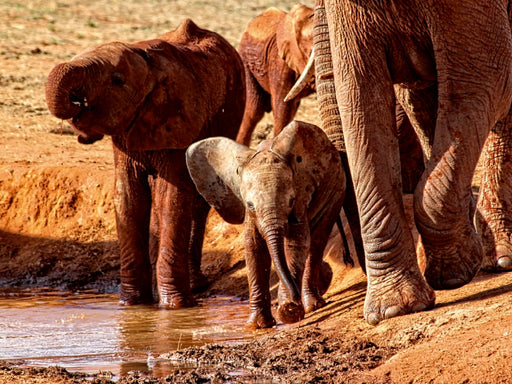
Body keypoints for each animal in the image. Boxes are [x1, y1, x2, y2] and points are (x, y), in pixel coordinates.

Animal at [44, 19, 246, 308]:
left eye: (117, 80)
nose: (79, 100)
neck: (148, 61)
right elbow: (128, 198)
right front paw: (132, 305)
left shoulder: (180, 122)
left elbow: (172, 197)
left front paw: (175, 307)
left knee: (197, 201)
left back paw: (194, 287)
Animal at [186, 121, 346, 328]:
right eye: (250, 204)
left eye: (291, 201)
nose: (293, 300)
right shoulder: (251, 215)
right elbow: (253, 247)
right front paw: (258, 324)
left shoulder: (301, 194)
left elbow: (297, 242)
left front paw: (289, 311)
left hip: (338, 187)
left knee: (318, 239)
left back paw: (312, 305)